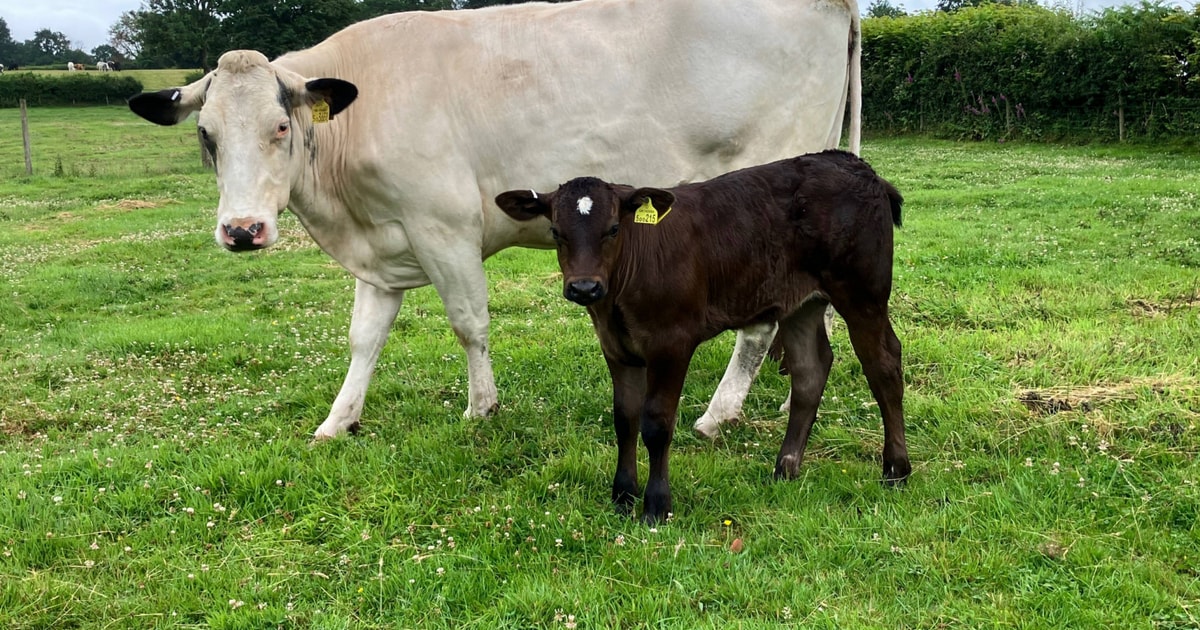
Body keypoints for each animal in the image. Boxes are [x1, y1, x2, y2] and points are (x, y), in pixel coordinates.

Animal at [126, 0, 862, 440]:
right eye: (206, 136)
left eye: (281, 127)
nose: (241, 231)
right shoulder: (384, 246)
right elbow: (364, 339)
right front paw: (339, 421)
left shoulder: (443, 226)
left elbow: (469, 323)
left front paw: (481, 408)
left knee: (760, 322)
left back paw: (717, 412)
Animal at [495, 150, 909, 522]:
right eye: (557, 232)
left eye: (613, 229)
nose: (584, 287)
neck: (616, 300)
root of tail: (853, 163)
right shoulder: (616, 348)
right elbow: (624, 418)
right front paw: (623, 496)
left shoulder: (671, 342)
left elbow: (656, 423)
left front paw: (656, 506)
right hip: (800, 303)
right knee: (810, 369)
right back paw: (786, 467)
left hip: (863, 290)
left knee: (884, 365)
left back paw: (896, 469)